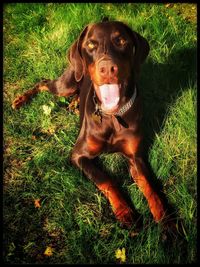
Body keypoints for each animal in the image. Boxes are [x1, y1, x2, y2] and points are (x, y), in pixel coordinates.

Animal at [11, 18, 166, 229]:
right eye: (91, 45)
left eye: (121, 41)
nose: (107, 69)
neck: (112, 117)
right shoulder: (79, 156)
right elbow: (106, 180)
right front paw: (124, 211)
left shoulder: (136, 157)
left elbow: (150, 188)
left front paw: (167, 220)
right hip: (66, 84)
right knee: (43, 82)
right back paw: (21, 100)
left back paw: (74, 104)